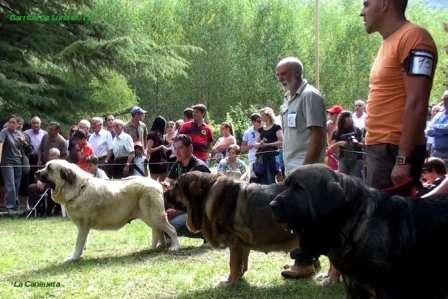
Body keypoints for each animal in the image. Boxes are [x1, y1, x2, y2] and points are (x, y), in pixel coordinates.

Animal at [36, 161, 178, 262]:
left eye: (49, 168)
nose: (36, 172)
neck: (79, 188)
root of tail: (157, 184)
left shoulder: (83, 225)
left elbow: (79, 243)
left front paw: (74, 257)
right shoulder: (84, 227)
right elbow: (83, 242)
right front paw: (78, 255)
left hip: (154, 216)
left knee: (171, 229)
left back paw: (174, 246)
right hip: (151, 217)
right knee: (160, 230)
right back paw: (161, 246)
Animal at [163, 172, 300, 284]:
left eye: (176, 185)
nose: (163, 192)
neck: (207, 192)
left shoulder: (234, 240)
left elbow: (233, 264)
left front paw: (229, 280)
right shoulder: (243, 242)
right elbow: (243, 260)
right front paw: (240, 276)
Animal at [270, 164, 448, 299]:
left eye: (299, 188)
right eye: (285, 186)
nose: (271, 205)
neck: (355, 221)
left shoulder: (389, 290)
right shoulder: (353, 287)